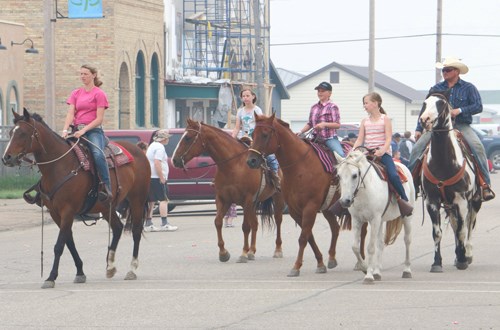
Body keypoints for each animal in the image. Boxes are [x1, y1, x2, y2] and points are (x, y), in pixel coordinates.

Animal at [1, 109, 150, 288]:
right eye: (11, 132)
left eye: (23, 133)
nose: (7, 158)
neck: (60, 166)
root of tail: (138, 150)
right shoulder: (55, 213)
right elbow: (69, 242)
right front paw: (80, 272)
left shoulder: (68, 210)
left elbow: (59, 245)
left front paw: (51, 277)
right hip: (106, 206)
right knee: (117, 228)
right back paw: (110, 267)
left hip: (137, 199)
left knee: (136, 231)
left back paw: (132, 269)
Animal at [172, 118, 284, 262]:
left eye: (187, 137)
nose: (175, 160)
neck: (233, 165)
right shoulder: (223, 199)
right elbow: (218, 222)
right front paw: (223, 253)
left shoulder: (246, 200)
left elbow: (245, 227)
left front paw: (243, 253)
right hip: (254, 204)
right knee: (255, 223)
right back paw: (252, 251)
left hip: (277, 198)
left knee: (278, 220)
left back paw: (277, 250)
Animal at [248, 113, 366, 276]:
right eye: (253, 134)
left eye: (265, 134)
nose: (251, 160)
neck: (300, 167)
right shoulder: (294, 210)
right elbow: (309, 236)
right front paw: (321, 263)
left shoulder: (310, 207)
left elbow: (303, 237)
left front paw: (296, 266)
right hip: (328, 208)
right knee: (335, 228)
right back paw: (332, 258)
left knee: (364, 230)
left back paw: (361, 261)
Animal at [336, 151, 414, 282]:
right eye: (339, 176)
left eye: (354, 175)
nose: (344, 201)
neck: (364, 192)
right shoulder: (357, 220)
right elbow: (355, 247)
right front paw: (364, 267)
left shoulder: (374, 220)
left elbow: (370, 248)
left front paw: (368, 276)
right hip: (381, 221)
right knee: (380, 243)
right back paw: (377, 272)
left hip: (406, 217)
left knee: (407, 240)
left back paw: (407, 270)